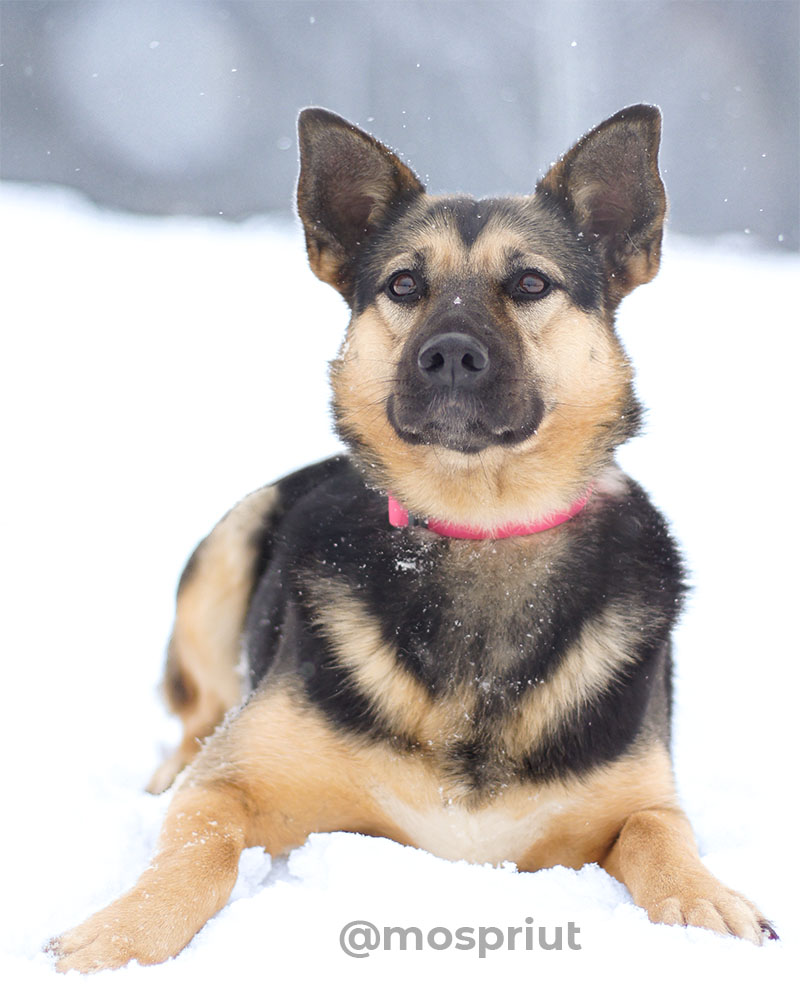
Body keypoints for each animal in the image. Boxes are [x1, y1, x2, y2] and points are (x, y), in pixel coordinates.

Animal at [50, 103, 776, 968]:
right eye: (404, 284)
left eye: (531, 283)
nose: (451, 354)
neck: (482, 527)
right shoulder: (233, 784)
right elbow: (197, 849)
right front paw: (122, 935)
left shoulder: (640, 800)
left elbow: (663, 836)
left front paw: (708, 903)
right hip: (227, 546)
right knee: (195, 718)